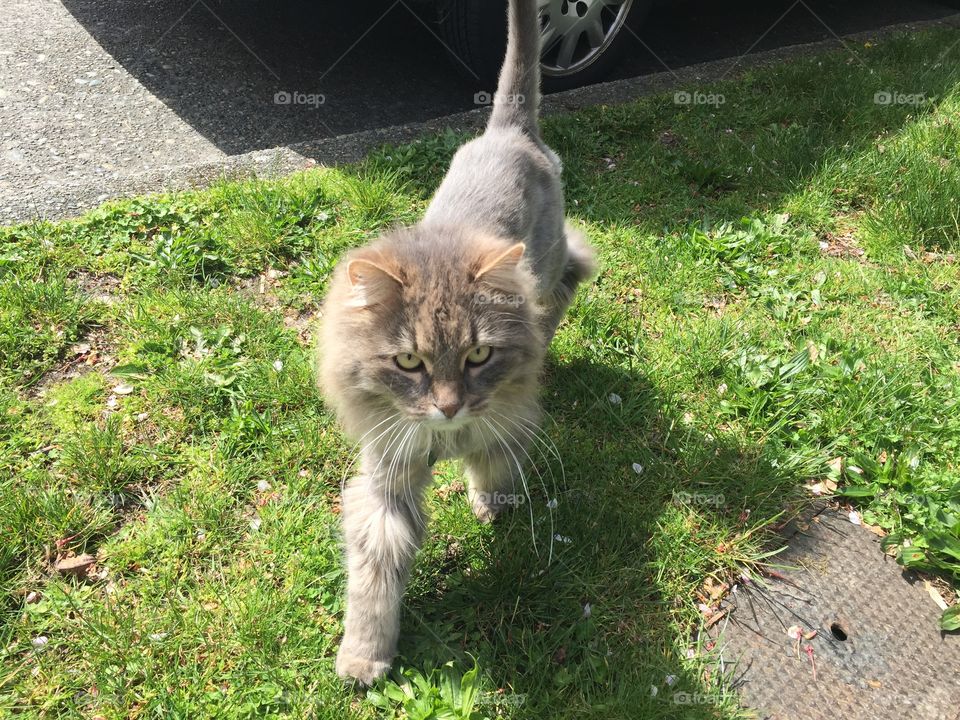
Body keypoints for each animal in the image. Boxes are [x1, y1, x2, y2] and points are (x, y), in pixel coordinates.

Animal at [318, 0, 596, 688]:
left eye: (478, 356)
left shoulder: (507, 418)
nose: (447, 407)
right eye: (408, 362)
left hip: (551, 260)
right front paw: (365, 656)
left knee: (569, 279)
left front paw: (489, 503)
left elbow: (495, 461)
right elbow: (374, 578)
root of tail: (509, 132)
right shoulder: (386, 479)